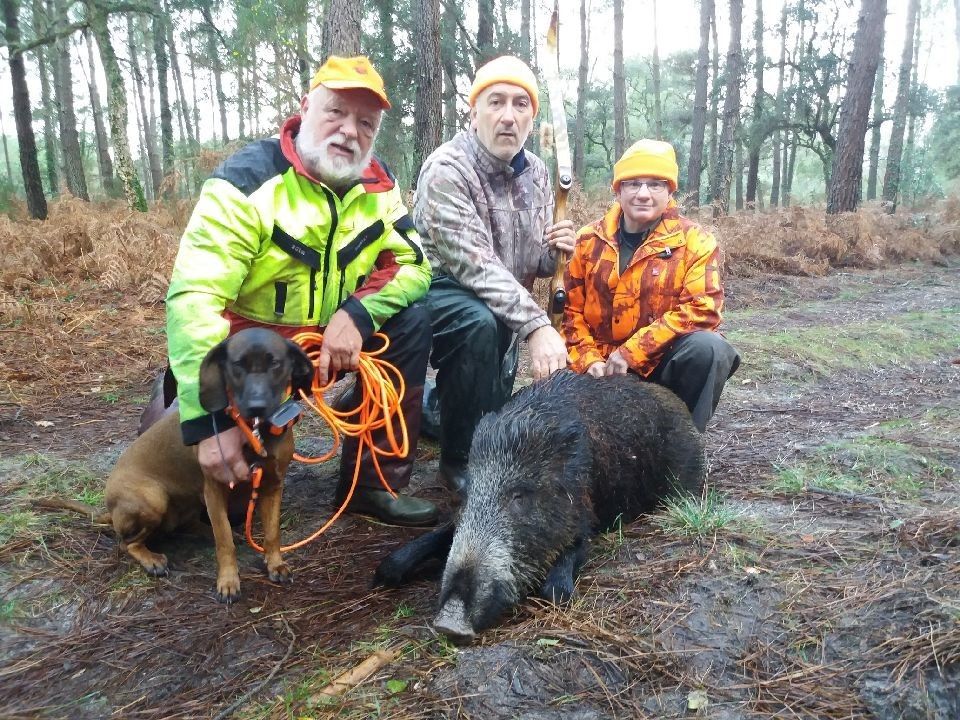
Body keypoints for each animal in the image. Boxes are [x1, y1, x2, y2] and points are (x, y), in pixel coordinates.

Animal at [102, 330, 312, 604]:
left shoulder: (272, 486)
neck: (254, 434)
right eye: (236, 365)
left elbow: (272, 533)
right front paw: (228, 582)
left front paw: (275, 564)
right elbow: (224, 543)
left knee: (189, 524)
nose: (256, 406)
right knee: (126, 543)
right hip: (154, 498)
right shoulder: (215, 489)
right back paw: (152, 559)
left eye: (275, 363)